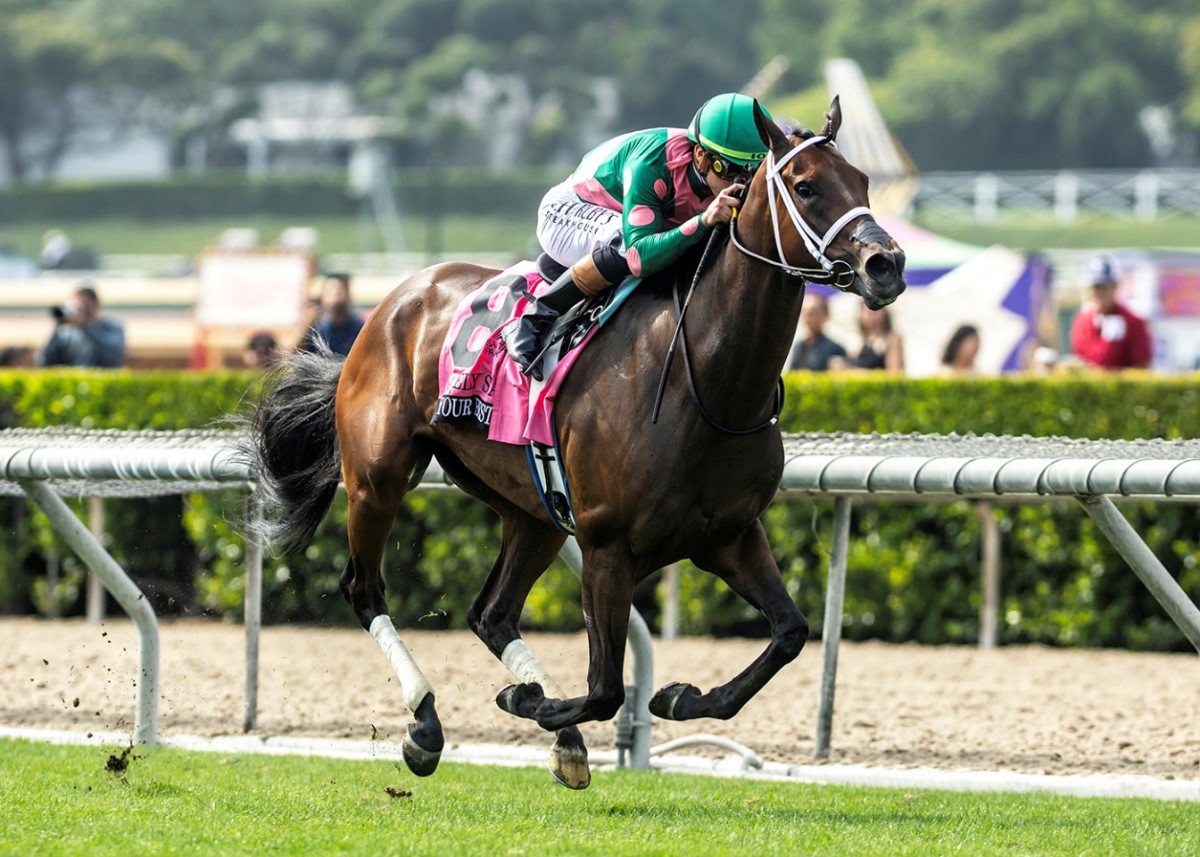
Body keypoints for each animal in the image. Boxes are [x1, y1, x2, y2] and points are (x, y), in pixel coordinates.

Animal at [245, 97, 906, 790]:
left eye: (862, 180)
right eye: (805, 187)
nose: (886, 265)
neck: (707, 382)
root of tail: (390, 304)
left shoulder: (729, 535)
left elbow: (790, 633)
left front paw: (674, 698)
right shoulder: (608, 547)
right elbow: (606, 689)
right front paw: (537, 705)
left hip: (532, 509)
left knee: (492, 612)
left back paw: (547, 721)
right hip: (378, 477)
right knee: (364, 588)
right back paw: (427, 724)